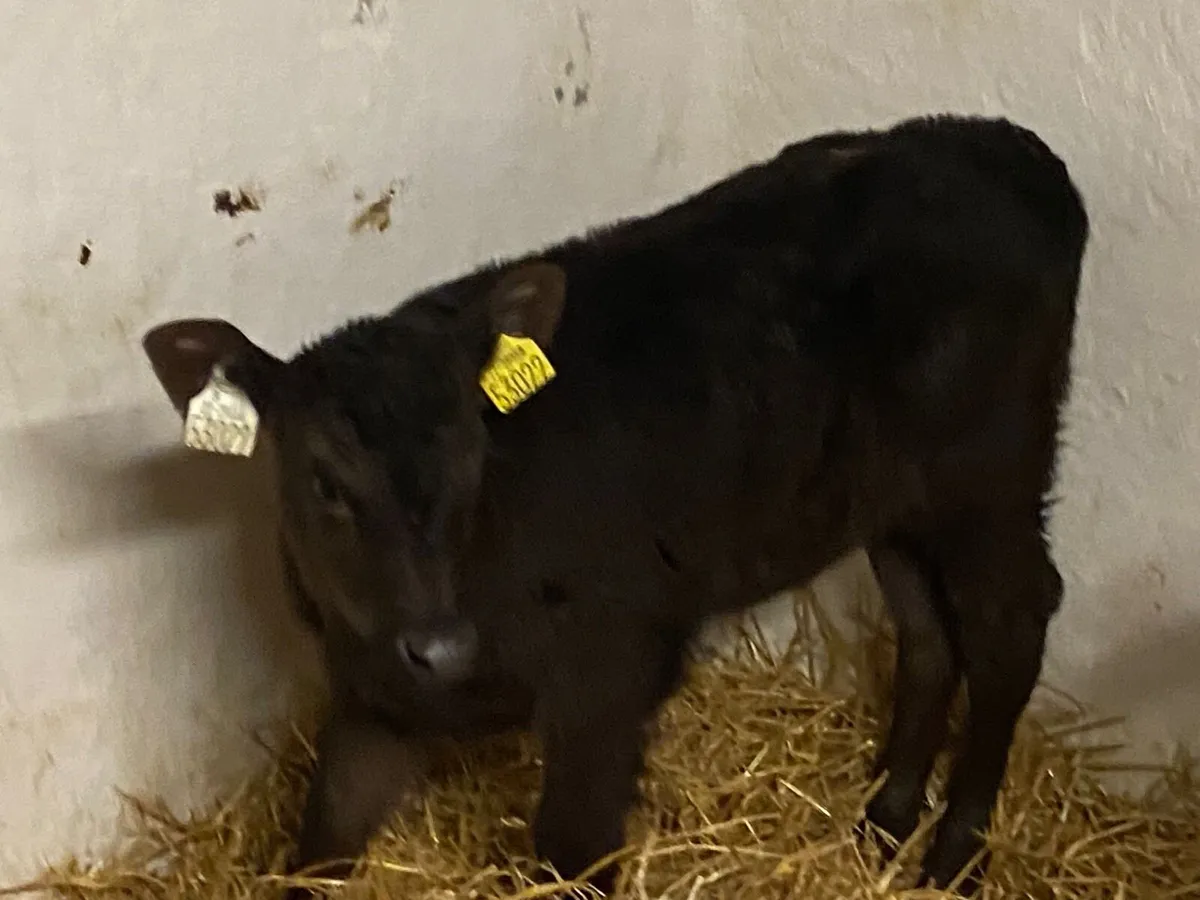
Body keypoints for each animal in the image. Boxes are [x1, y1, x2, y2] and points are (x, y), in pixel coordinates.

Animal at [140, 113, 1089, 894]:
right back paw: (886, 821)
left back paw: (956, 851)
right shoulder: (369, 694)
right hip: (894, 499)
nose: (441, 644)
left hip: (994, 473)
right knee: (928, 636)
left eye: (473, 453)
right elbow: (317, 845)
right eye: (325, 480)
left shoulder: (614, 670)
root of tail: (1004, 147)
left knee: (1011, 623)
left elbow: (570, 851)